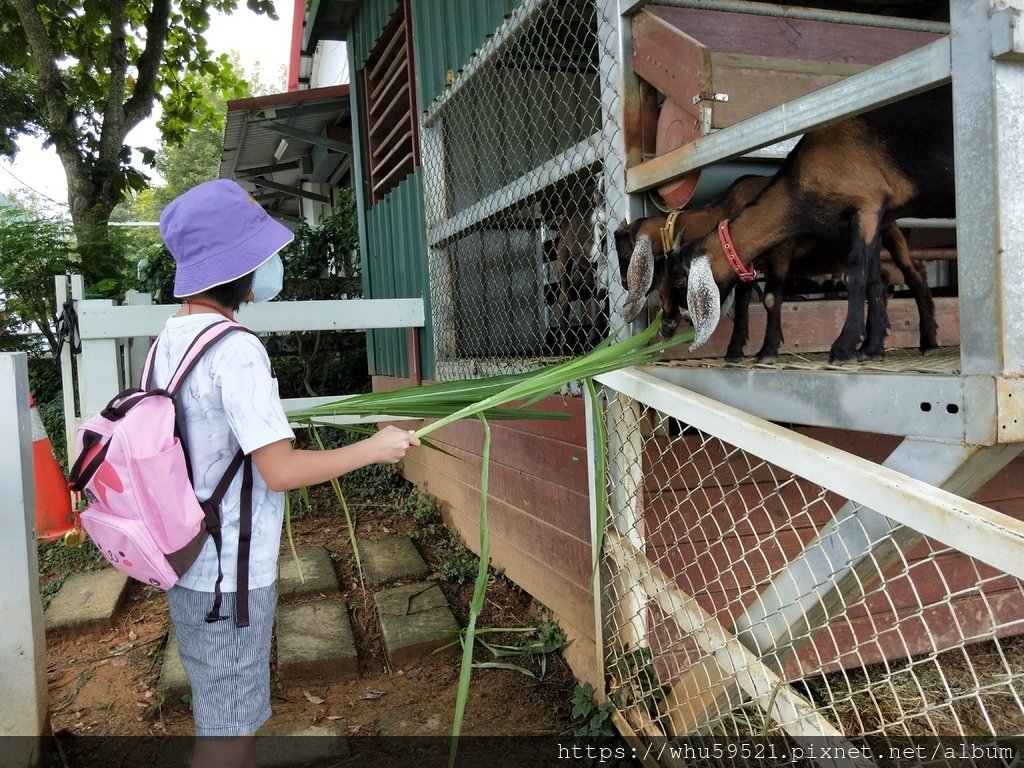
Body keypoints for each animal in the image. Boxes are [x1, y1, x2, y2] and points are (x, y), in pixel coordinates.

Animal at [663, 85, 950, 362]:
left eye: (679, 280)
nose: (682, 320)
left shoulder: (866, 206)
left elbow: (851, 276)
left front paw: (840, 347)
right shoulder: (872, 220)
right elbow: (872, 279)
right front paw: (870, 347)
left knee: (913, 274)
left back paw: (928, 342)